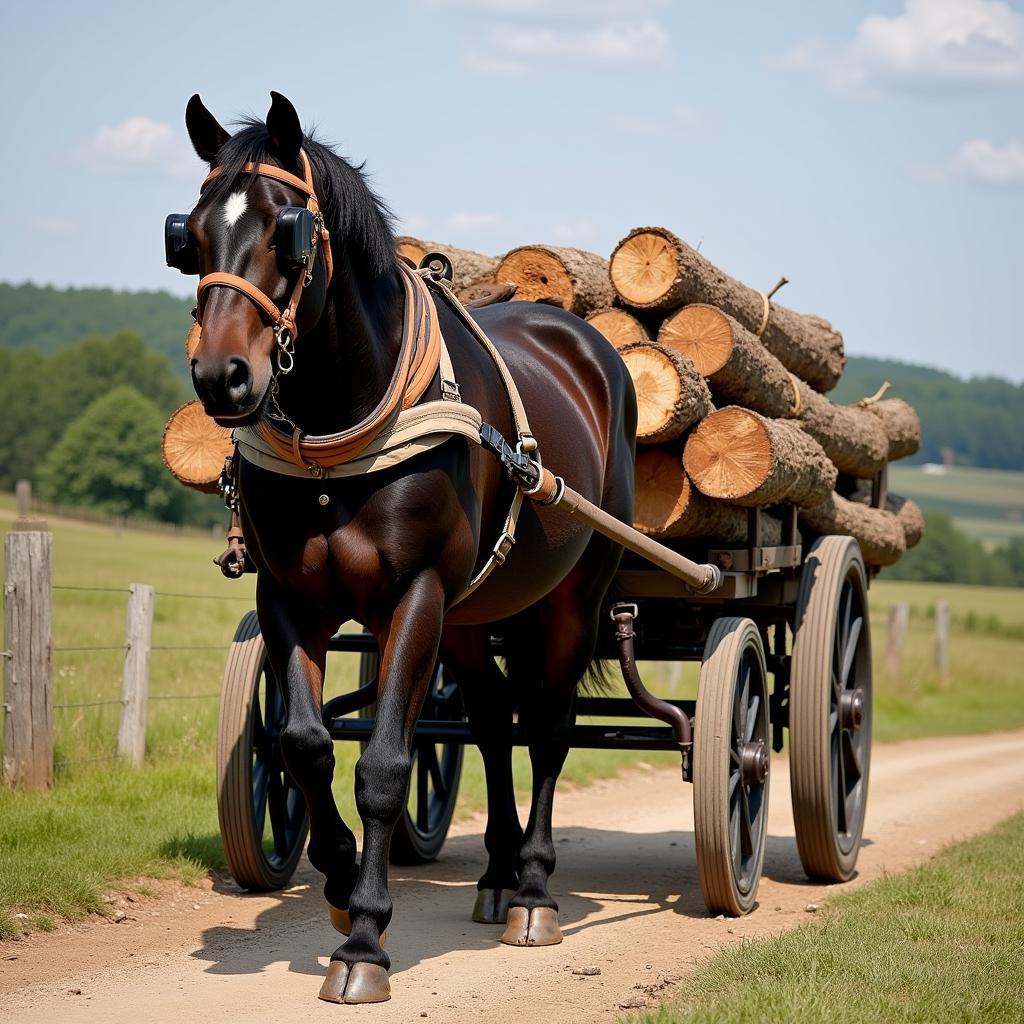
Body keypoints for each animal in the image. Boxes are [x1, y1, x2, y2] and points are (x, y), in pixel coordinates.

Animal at [180, 92, 634, 1003]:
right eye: (192, 234)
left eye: (288, 230)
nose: (222, 378)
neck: (341, 432)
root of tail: (581, 337)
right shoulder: (289, 599)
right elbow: (303, 745)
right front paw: (336, 879)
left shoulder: (415, 593)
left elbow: (386, 764)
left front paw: (364, 940)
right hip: (473, 613)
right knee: (493, 722)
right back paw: (495, 876)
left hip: (571, 598)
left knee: (549, 727)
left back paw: (533, 890)